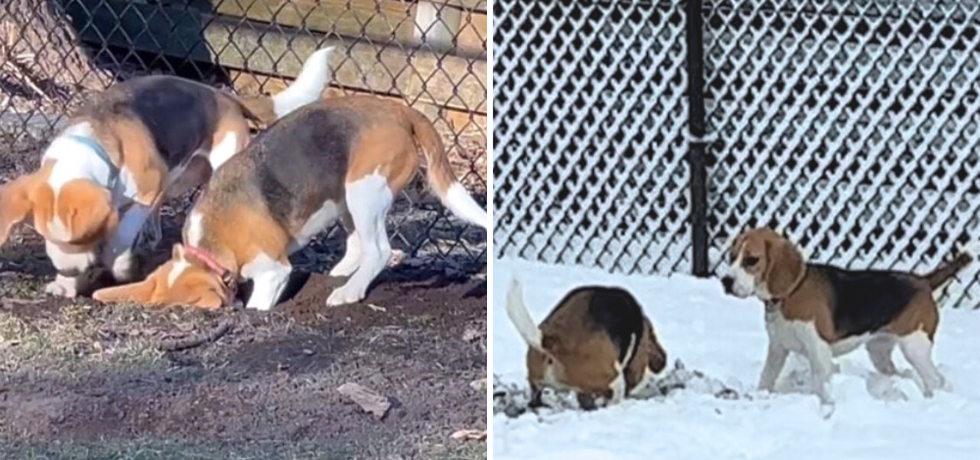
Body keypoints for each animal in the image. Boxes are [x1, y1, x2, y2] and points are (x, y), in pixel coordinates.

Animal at [0, 47, 334, 298]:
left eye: (83, 237)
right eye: (43, 234)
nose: (68, 271)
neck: (93, 144)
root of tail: (220, 94)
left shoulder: (147, 192)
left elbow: (121, 235)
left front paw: (119, 266)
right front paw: (66, 284)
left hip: (214, 165)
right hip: (181, 177)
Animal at [91, 94, 486, 310]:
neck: (211, 244)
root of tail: (398, 110)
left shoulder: (272, 271)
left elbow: (259, 301)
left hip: (365, 191)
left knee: (379, 251)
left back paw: (348, 291)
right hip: (345, 197)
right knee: (358, 244)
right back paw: (341, 274)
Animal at [720, 226, 972, 402]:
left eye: (751, 260)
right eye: (731, 256)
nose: (726, 281)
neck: (790, 293)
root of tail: (923, 281)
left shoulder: (818, 350)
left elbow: (821, 386)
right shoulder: (777, 348)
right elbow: (766, 377)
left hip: (915, 346)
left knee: (937, 379)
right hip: (879, 351)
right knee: (900, 373)